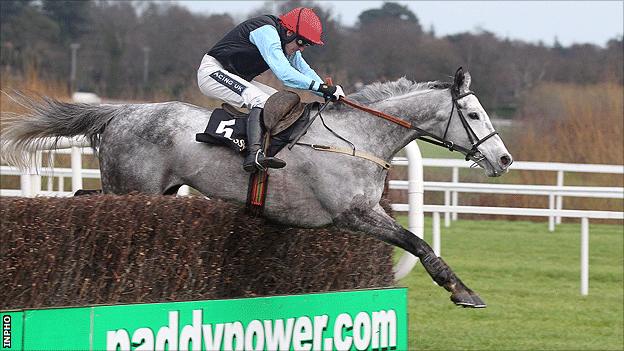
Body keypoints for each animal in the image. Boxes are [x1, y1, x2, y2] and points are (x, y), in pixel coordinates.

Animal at [1, 69, 512, 308]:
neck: (358, 137)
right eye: (473, 114)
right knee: (88, 205)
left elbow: (416, 241)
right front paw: (461, 291)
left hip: (153, 192)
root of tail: (119, 113)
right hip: (132, 189)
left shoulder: (365, 212)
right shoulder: (354, 215)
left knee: (83, 199)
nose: (504, 159)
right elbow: (419, 243)